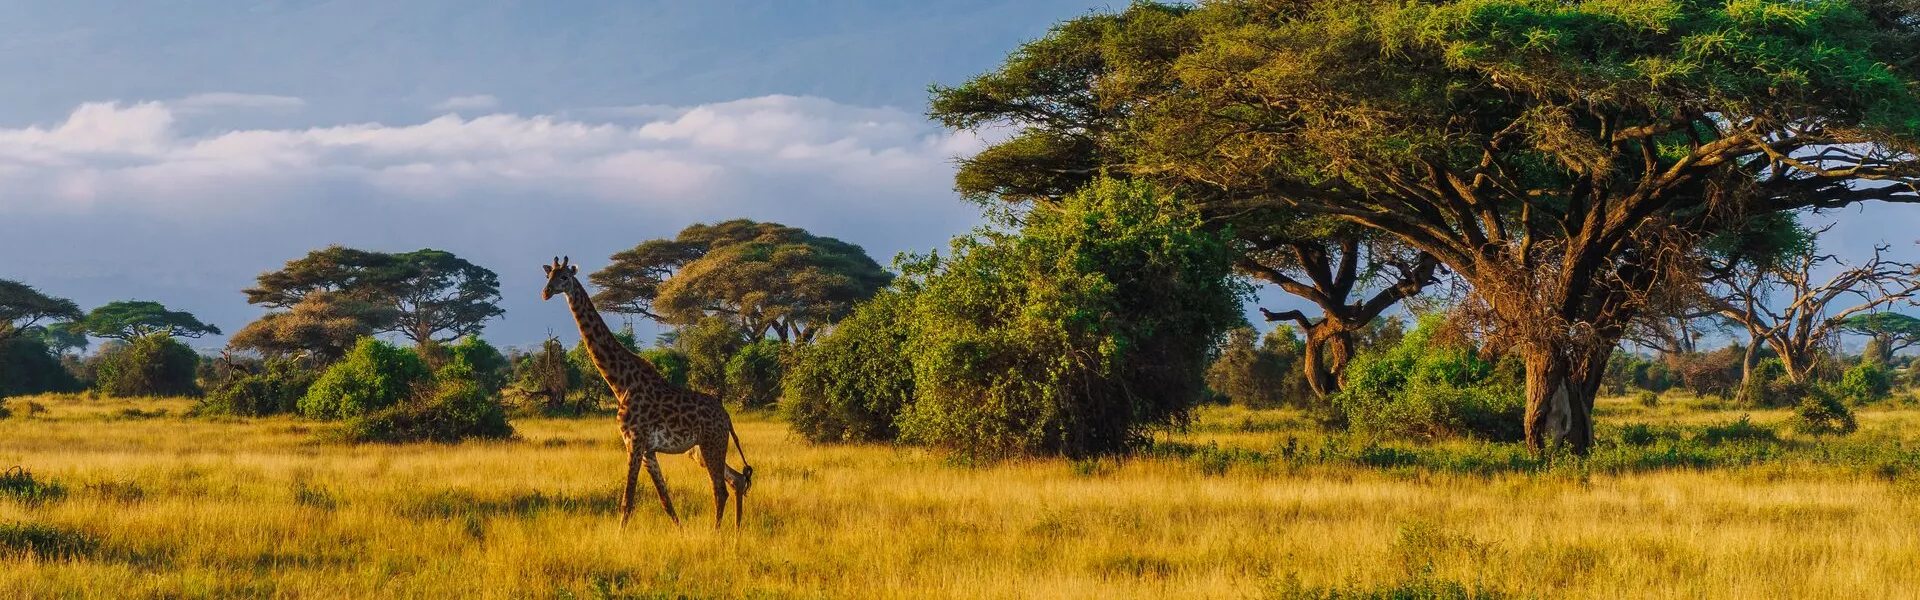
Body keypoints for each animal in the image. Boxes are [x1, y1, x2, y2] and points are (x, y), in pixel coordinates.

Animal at [541, 256, 754, 528]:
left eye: (564, 277)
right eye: (548, 276)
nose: (546, 292)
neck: (621, 383)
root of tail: (726, 417)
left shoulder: (634, 441)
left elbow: (627, 501)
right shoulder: (648, 450)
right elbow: (666, 501)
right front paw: (681, 532)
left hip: (711, 443)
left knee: (720, 489)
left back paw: (716, 533)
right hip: (700, 450)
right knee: (736, 479)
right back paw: (736, 532)